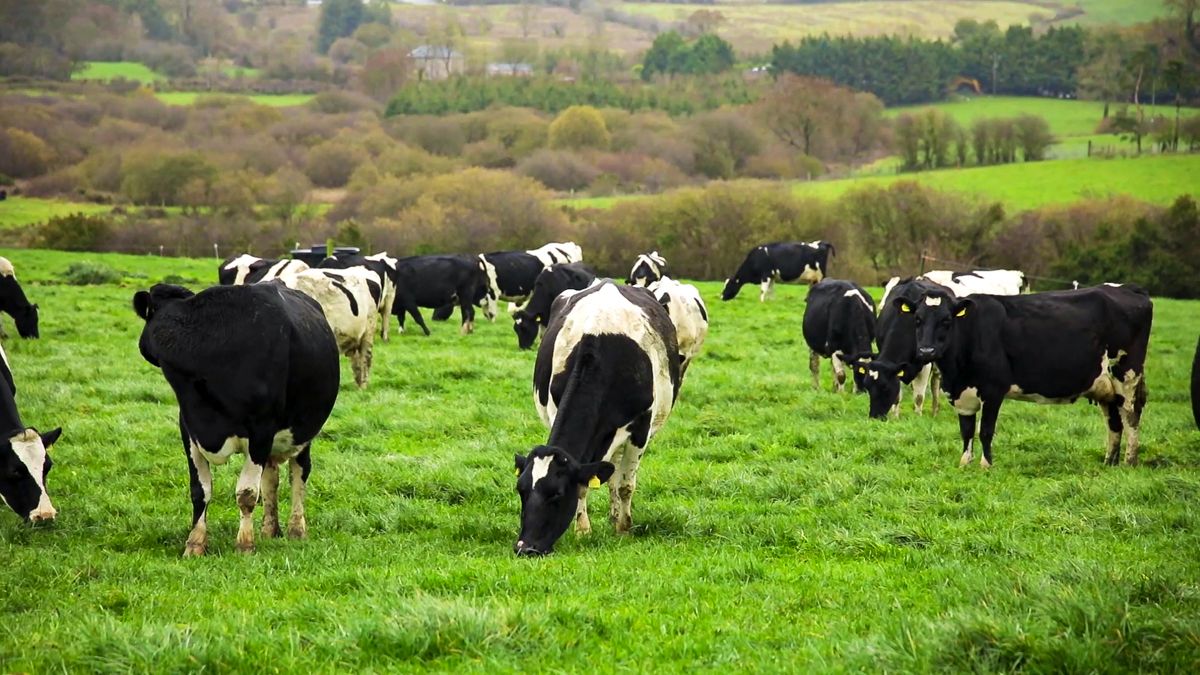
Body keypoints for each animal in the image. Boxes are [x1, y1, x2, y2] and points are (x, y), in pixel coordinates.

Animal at [134, 283, 340, 556]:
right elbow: (200, 490)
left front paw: (245, 544)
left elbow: (247, 493)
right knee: (271, 479)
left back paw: (296, 530)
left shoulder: (261, 430)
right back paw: (270, 529)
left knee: (299, 474)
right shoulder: (188, 425)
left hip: (303, 432)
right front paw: (195, 543)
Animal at [514, 281, 680, 556]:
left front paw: (624, 529)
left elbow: (626, 485)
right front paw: (583, 530)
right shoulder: (555, 411)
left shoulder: (640, 429)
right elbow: (585, 486)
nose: (525, 548)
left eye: (557, 494)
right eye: (521, 490)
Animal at [901, 283, 1152, 468]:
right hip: (1105, 385)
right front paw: (965, 463)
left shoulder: (993, 390)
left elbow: (985, 430)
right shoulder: (962, 393)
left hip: (1127, 375)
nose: (926, 351)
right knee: (1114, 421)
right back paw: (1109, 462)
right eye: (917, 320)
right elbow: (967, 430)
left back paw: (1130, 462)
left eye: (946, 320)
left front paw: (986, 465)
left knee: (1131, 415)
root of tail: (1127, 288)